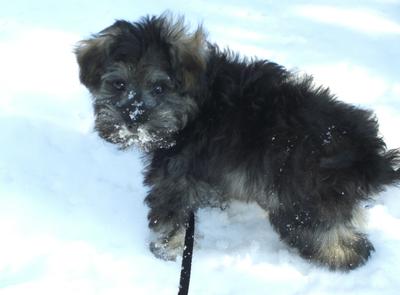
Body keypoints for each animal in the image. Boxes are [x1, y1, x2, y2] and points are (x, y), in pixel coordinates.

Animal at [76, 15, 400, 272]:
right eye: (119, 84)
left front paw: (165, 252)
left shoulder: (174, 179)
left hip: (300, 206)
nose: (133, 120)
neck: (194, 108)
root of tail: (370, 156)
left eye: (159, 88)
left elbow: (170, 216)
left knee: (333, 243)